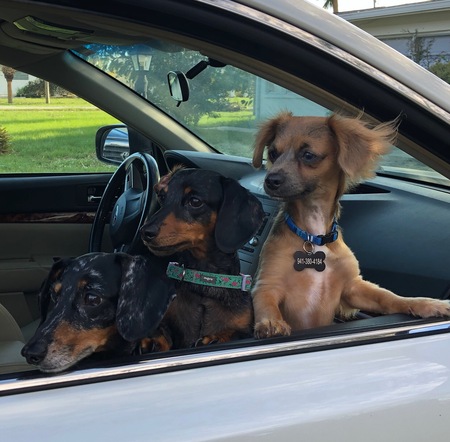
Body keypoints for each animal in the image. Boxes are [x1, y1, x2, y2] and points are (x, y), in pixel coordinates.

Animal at [253, 111, 450, 338]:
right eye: (273, 153)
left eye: (308, 155)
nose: (270, 180)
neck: (313, 237)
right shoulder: (267, 284)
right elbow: (266, 303)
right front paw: (271, 323)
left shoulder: (353, 288)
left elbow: (388, 297)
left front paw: (428, 304)